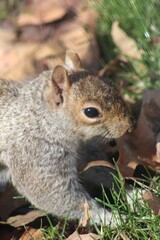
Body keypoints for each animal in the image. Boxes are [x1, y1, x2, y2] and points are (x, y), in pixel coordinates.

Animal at [0, 49, 134, 224]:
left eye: (110, 85)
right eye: (91, 112)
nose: (129, 127)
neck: (42, 119)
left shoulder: (83, 151)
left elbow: (103, 170)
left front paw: (134, 194)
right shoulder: (35, 156)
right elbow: (52, 193)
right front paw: (112, 218)